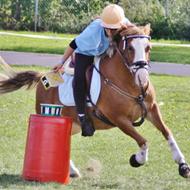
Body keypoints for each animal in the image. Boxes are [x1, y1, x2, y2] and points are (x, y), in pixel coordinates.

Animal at [0, 24, 189, 178]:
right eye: (130, 48)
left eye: (148, 48)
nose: (142, 78)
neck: (131, 86)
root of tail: (43, 77)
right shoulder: (120, 119)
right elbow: (143, 141)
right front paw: (137, 159)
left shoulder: (151, 109)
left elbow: (167, 132)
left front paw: (182, 165)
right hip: (49, 113)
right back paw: (70, 170)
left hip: (73, 124)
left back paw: (71, 171)